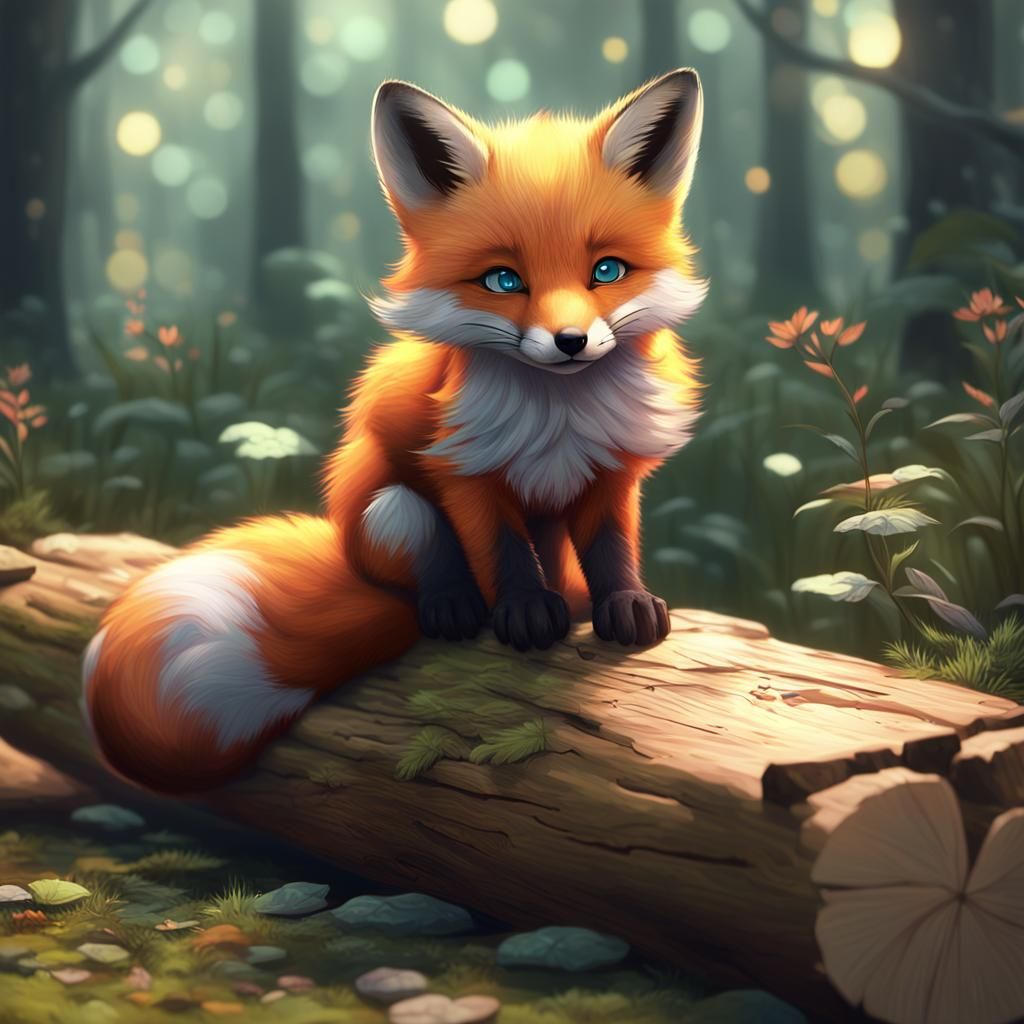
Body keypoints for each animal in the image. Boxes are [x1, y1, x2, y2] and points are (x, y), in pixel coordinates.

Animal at [82, 69, 707, 793]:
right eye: (503, 280)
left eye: (606, 271)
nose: (571, 342)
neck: (560, 419)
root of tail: (347, 552)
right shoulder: (462, 469)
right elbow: (502, 552)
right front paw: (524, 611)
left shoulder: (611, 469)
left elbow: (612, 548)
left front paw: (625, 605)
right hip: (391, 508)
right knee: (424, 579)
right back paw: (454, 607)